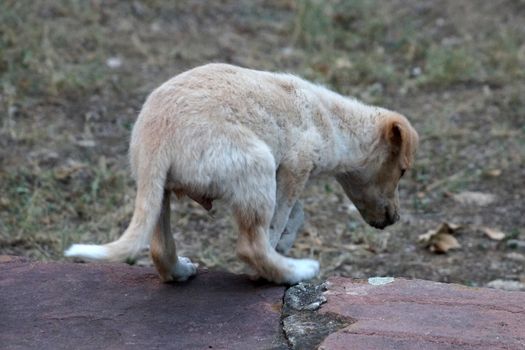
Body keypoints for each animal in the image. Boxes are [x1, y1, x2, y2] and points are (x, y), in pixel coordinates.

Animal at [65, 63, 418, 284]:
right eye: (402, 172)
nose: (396, 219)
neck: (333, 121)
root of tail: (157, 136)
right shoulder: (294, 167)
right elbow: (279, 220)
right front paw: (275, 257)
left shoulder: (284, 174)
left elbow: (296, 215)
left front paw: (286, 241)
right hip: (256, 163)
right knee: (250, 246)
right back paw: (293, 273)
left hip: (156, 190)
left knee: (159, 249)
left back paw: (180, 272)